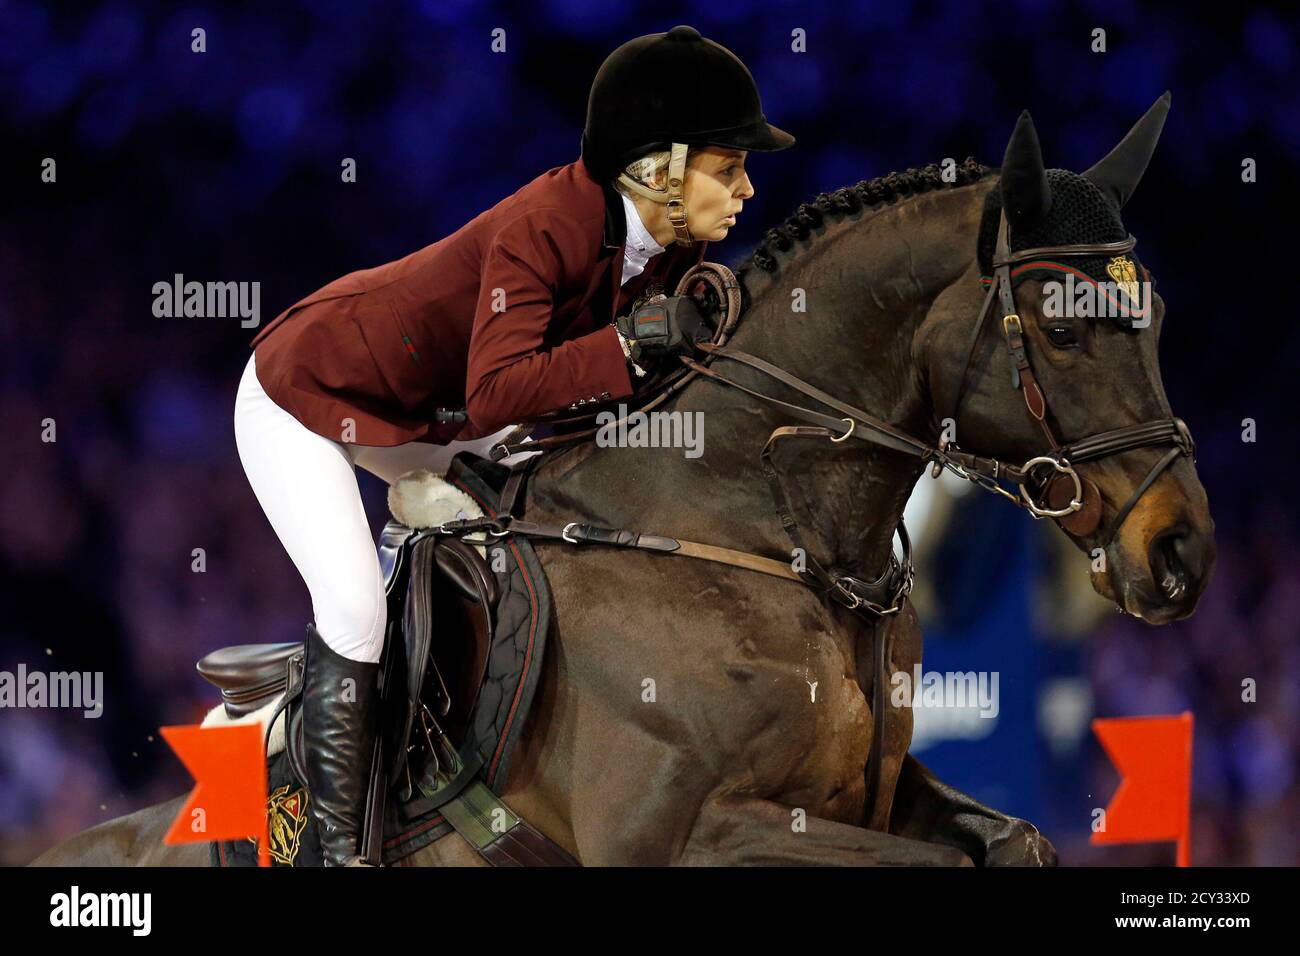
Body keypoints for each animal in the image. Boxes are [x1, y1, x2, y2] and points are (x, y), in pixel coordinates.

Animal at [32, 95, 1206, 868]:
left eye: (1152, 315)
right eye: (1062, 329)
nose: (1179, 552)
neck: (764, 539)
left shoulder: (875, 792)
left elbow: (1010, 841)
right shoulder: (680, 835)